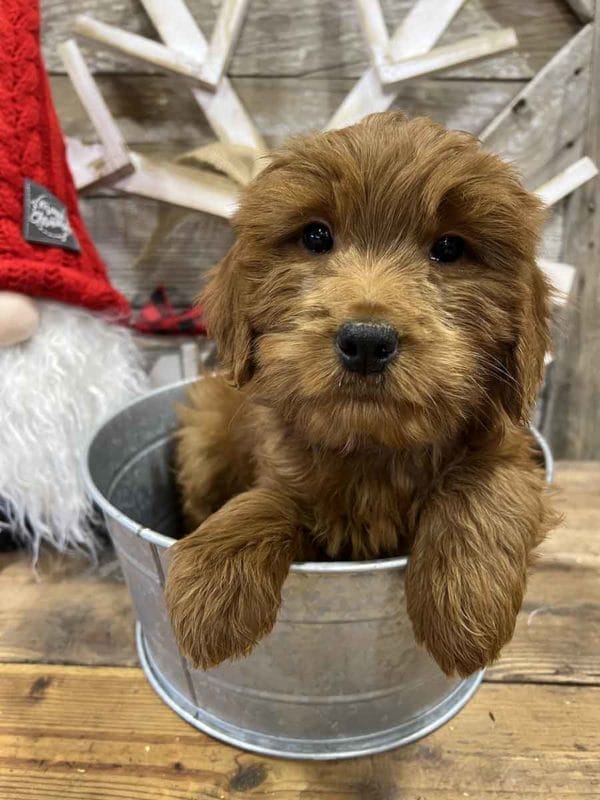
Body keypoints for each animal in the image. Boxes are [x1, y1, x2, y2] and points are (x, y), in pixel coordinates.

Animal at [164, 112, 556, 676]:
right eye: (316, 236)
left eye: (450, 248)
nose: (367, 341)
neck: (374, 447)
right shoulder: (287, 473)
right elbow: (271, 499)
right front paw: (214, 578)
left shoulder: (513, 448)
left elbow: (485, 482)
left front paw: (465, 600)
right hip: (203, 439)